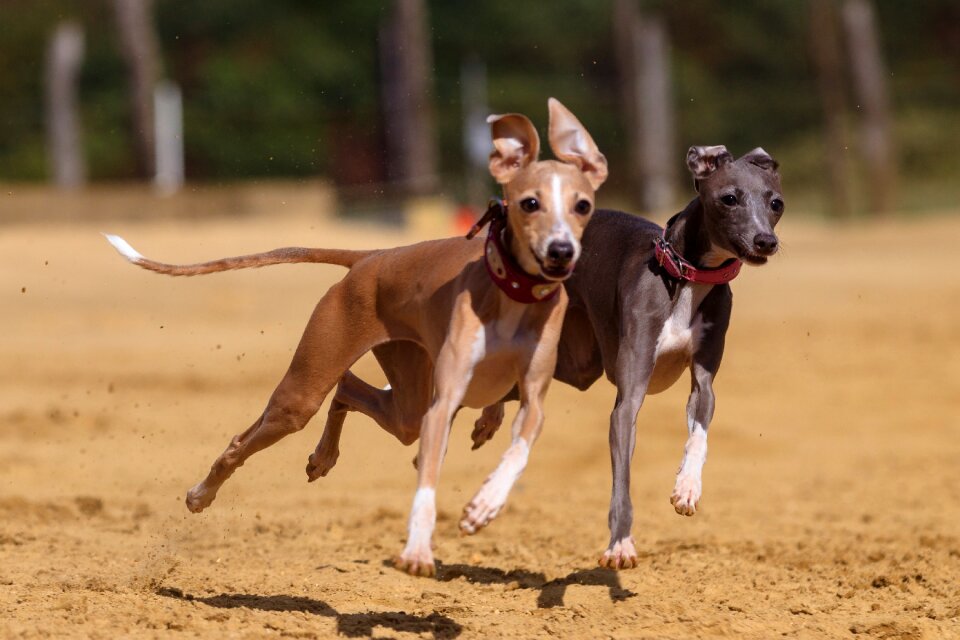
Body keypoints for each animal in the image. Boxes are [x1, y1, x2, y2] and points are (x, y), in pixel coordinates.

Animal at [107, 99, 608, 576]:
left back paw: (324, 456)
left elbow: (518, 446)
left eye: (583, 206)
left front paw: (485, 499)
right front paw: (424, 543)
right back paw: (202, 494)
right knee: (253, 435)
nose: (561, 252)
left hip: (406, 389)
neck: (511, 291)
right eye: (529, 203)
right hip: (308, 390)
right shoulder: (446, 395)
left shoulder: (530, 395)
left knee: (352, 390)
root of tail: (371, 257)